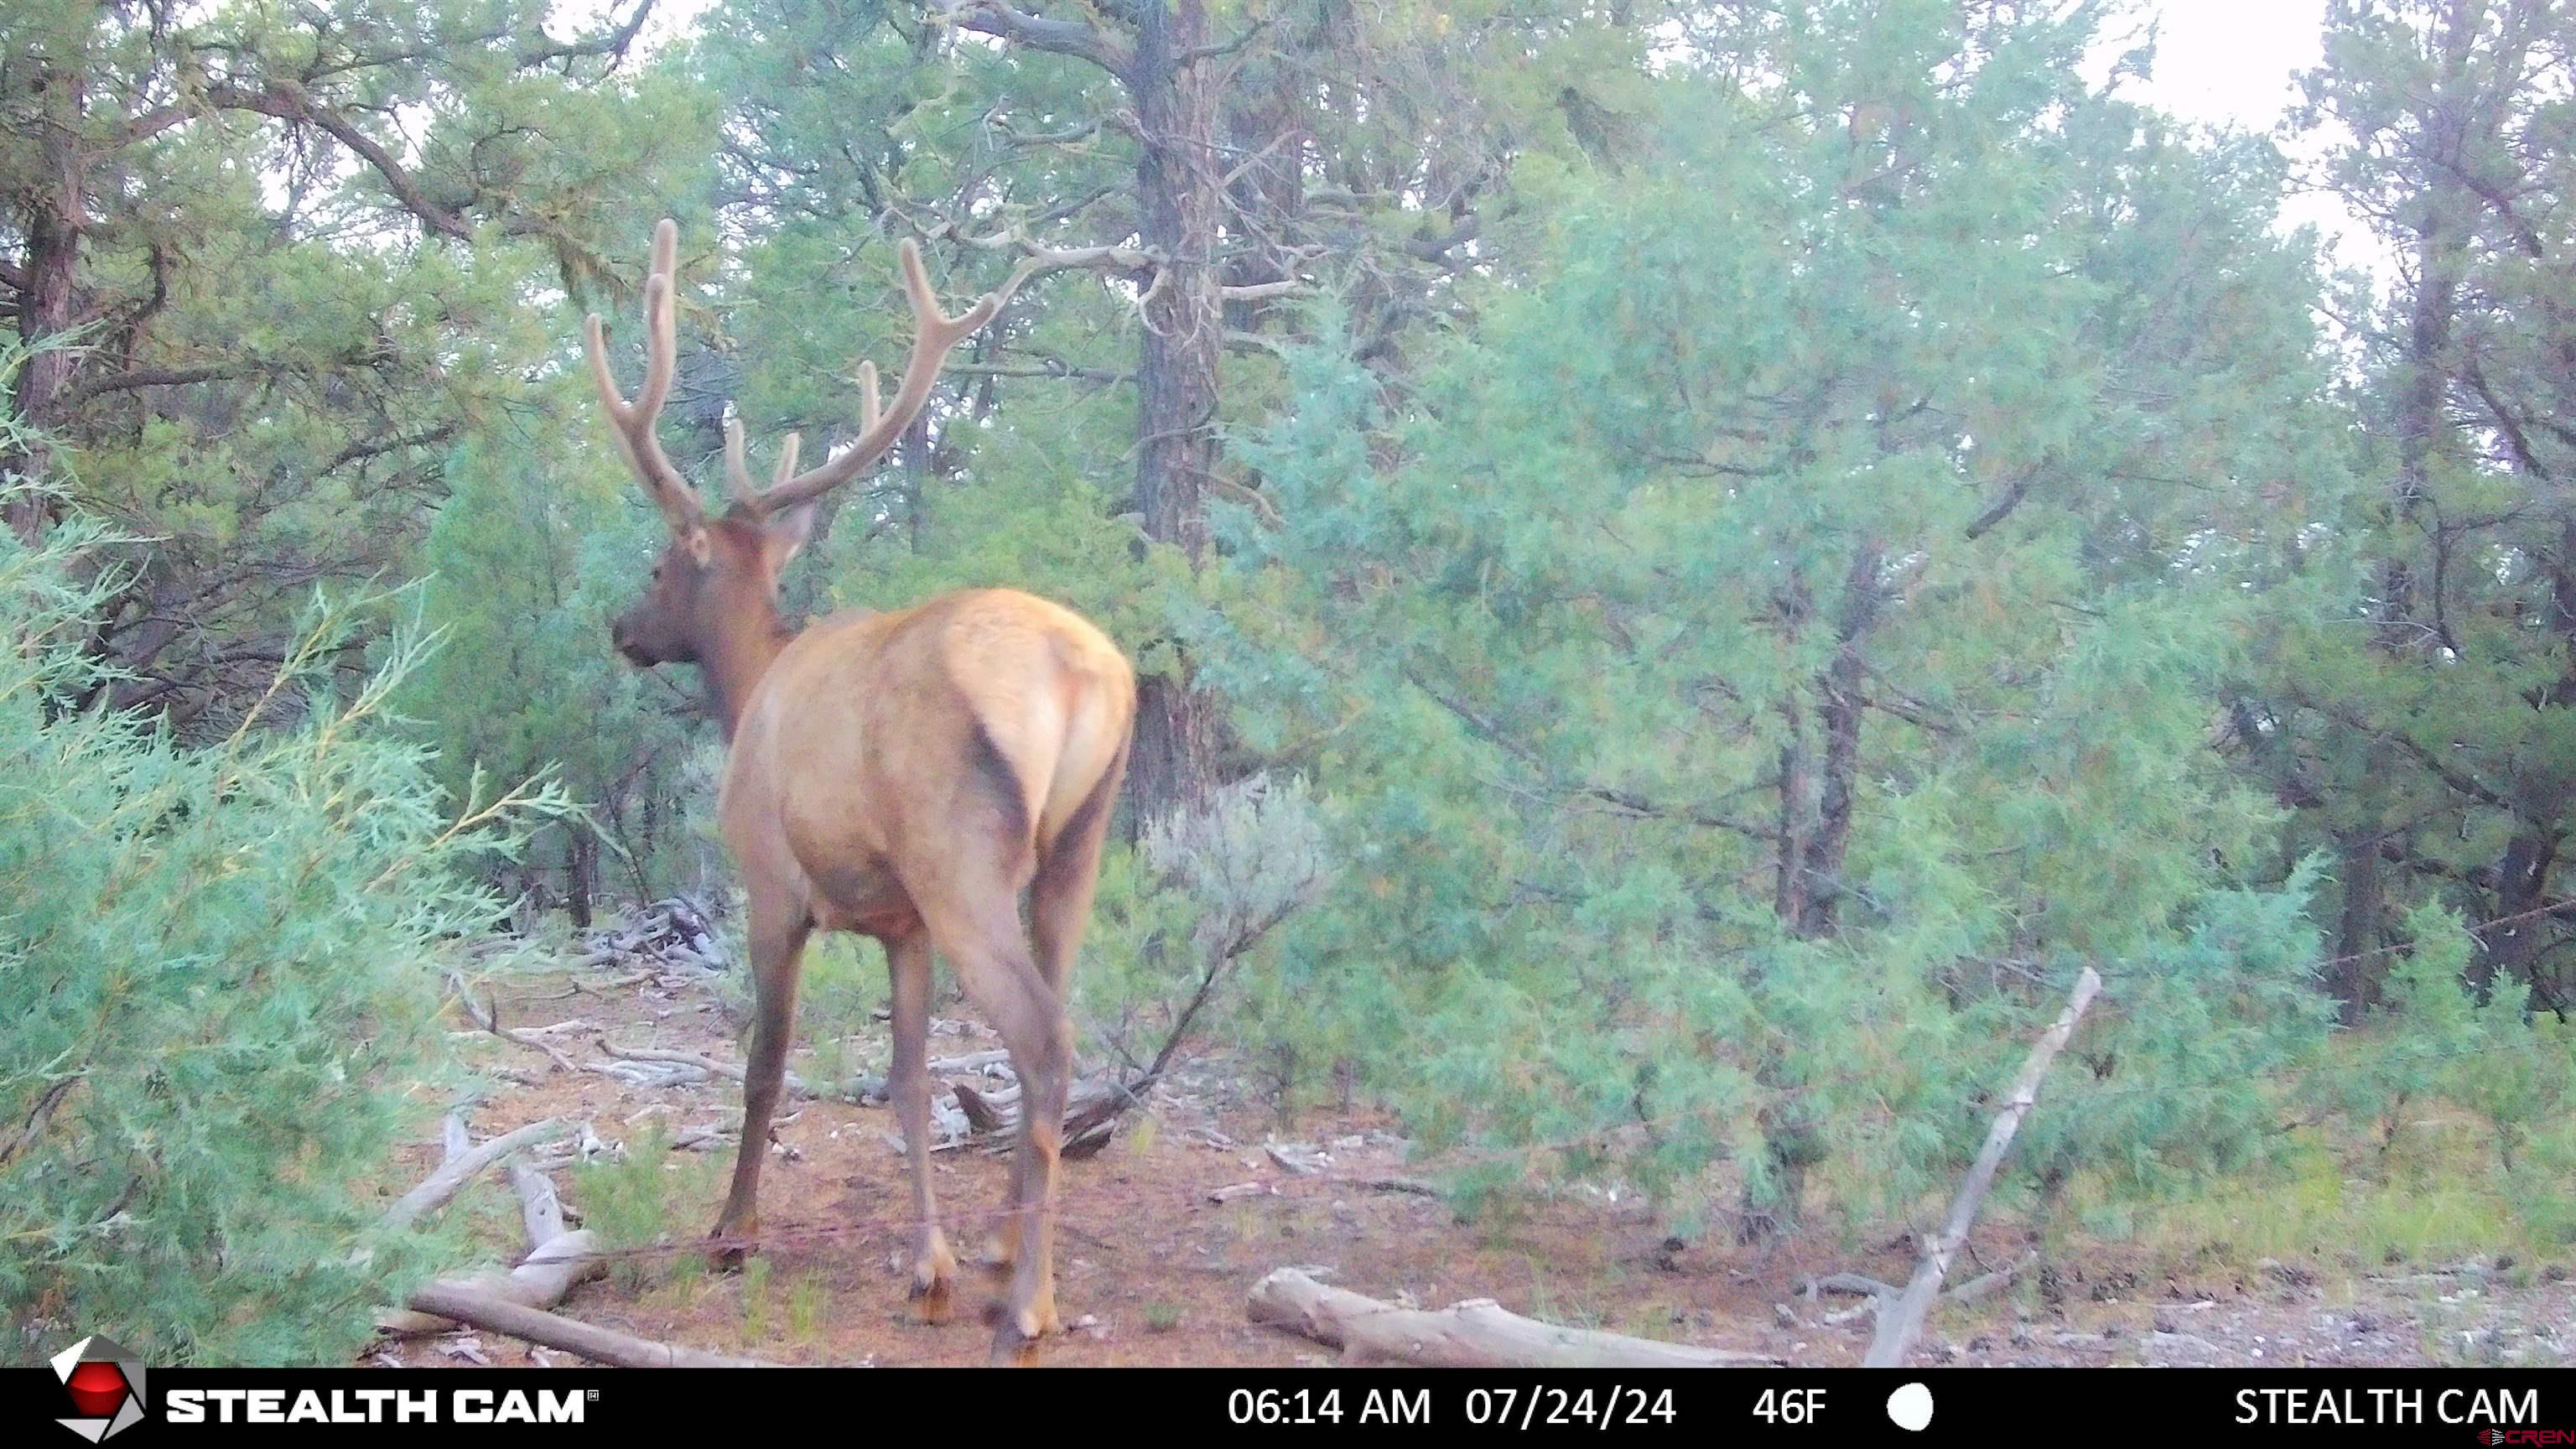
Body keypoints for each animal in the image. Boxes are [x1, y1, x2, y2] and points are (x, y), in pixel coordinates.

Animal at [589, 220, 1143, 1361]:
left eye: (664, 567)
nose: (623, 630)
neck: (750, 686)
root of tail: (1082, 674)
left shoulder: (769, 884)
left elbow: (765, 1060)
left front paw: (733, 1230)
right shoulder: (902, 923)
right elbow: (908, 1074)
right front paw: (930, 1266)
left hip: (963, 858)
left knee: (1044, 1040)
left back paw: (1028, 1308)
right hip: (1077, 848)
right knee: (1056, 1019)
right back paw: (1009, 1262)